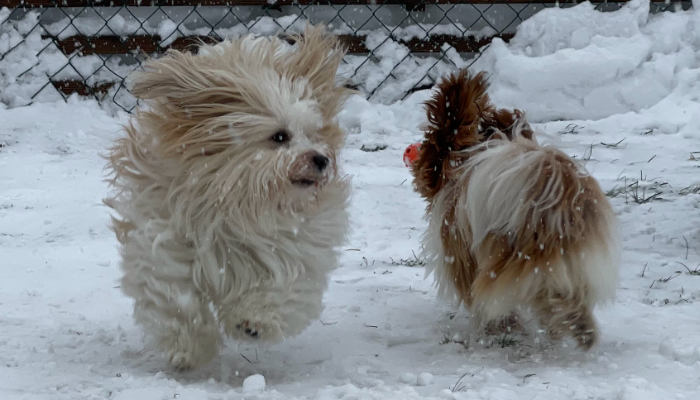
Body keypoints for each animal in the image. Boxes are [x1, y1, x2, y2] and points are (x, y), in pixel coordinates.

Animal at [106, 25, 352, 368]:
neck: (236, 200)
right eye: (280, 136)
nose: (320, 158)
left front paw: (254, 321)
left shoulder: (294, 246)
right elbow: (174, 296)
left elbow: (284, 284)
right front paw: (189, 346)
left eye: (314, 134)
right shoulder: (165, 241)